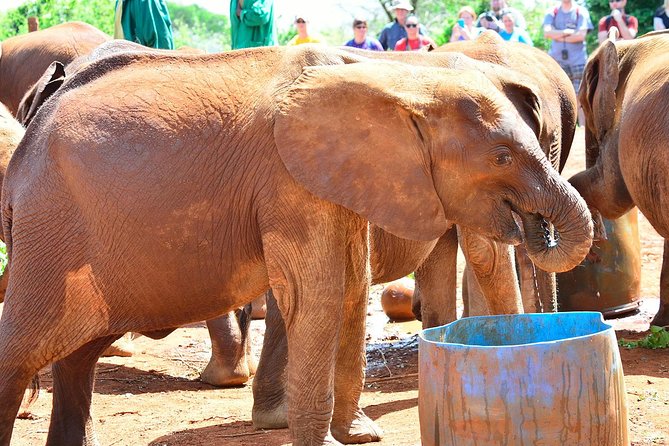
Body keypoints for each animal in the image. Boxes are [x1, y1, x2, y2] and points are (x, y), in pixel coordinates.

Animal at [0, 46, 596, 446]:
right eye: (501, 155)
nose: (537, 227)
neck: (398, 78)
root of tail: (27, 142)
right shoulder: (289, 181)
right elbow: (322, 295)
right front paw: (329, 442)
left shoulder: (340, 179)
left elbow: (351, 290)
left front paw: (358, 437)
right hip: (52, 231)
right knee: (23, 349)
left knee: (79, 356)